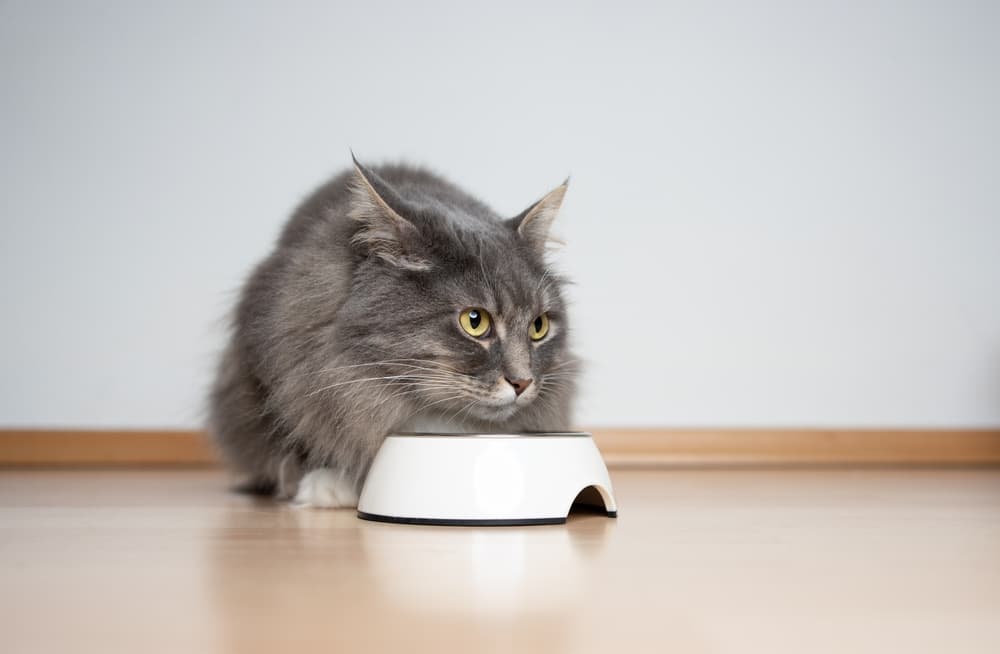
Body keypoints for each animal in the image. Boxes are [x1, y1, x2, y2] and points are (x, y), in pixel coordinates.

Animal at [209, 156, 580, 510]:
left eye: (538, 327)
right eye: (475, 321)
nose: (523, 382)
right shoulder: (280, 370)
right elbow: (298, 433)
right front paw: (328, 484)